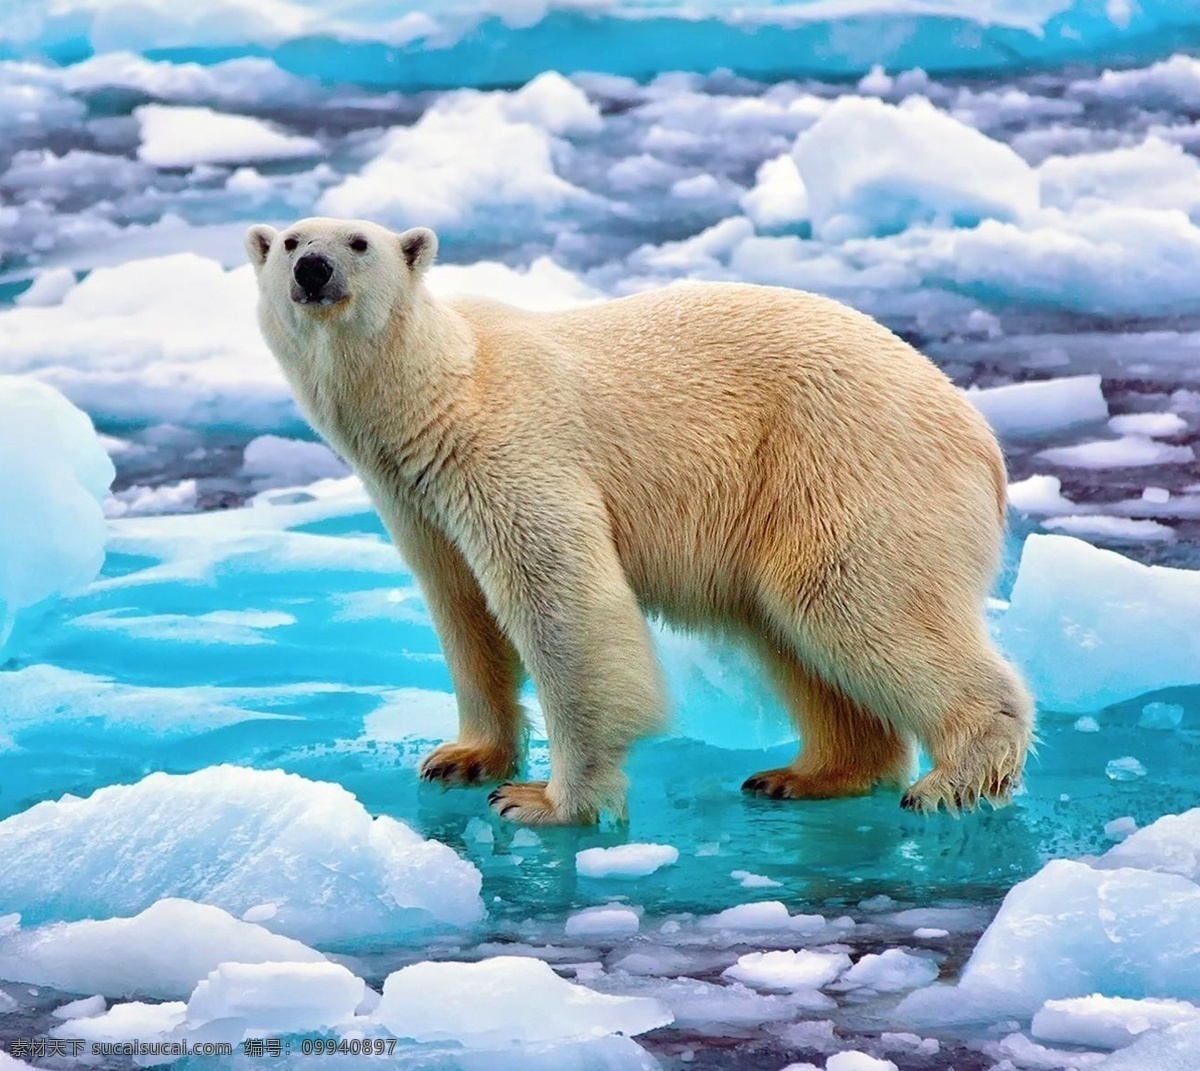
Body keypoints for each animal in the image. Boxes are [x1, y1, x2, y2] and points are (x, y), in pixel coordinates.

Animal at [243, 214, 1032, 826]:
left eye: (358, 241)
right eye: (290, 240)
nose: (312, 269)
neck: (441, 389)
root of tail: (980, 437)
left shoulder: (511, 450)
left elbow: (564, 605)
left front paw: (545, 800)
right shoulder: (416, 499)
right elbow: (462, 610)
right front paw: (461, 756)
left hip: (847, 465)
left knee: (853, 601)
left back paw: (952, 778)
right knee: (794, 634)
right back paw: (805, 774)